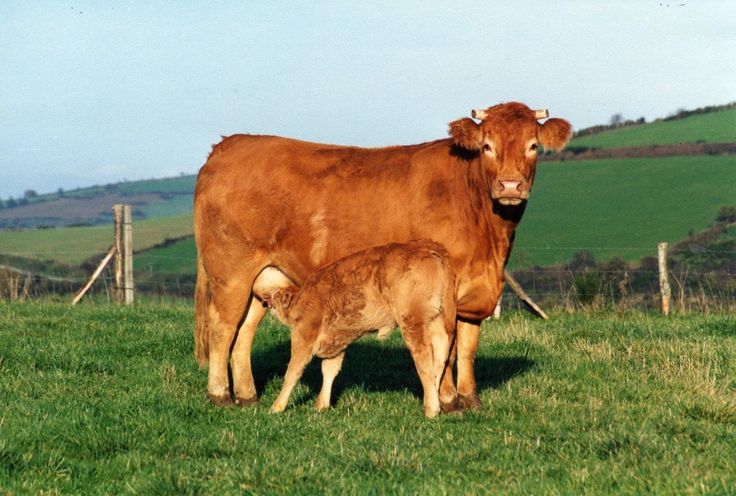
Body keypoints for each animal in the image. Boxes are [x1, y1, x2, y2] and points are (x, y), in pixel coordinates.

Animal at [262, 238, 458, 416]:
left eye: (276, 295)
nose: (265, 300)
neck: (302, 299)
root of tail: (426, 245)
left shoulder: (303, 337)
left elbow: (292, 372)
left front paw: (276, 407)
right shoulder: (337, 343)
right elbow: (329, 371)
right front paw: (321, 405)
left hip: (413, 322)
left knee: (424, 358)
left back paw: (431, 409)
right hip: (436, 319)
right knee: (440, 353)